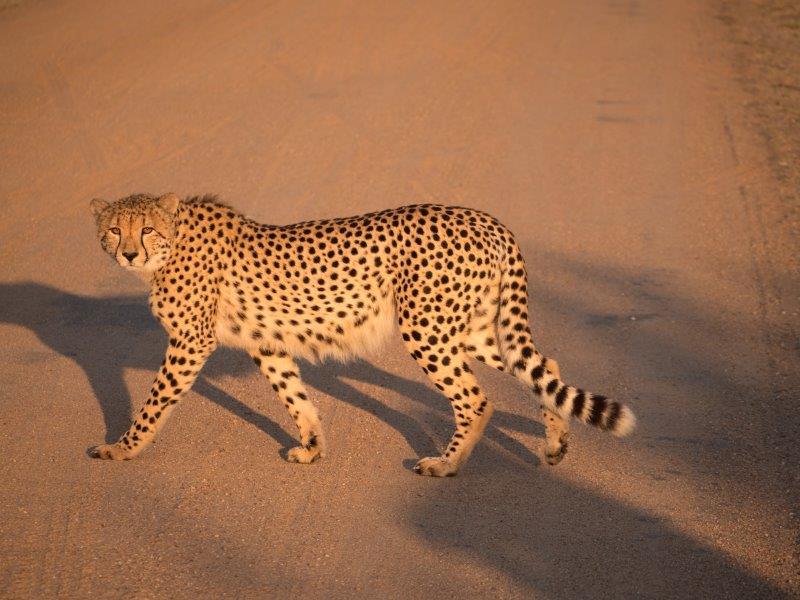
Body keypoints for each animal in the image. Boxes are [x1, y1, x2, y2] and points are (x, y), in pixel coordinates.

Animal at [89, 195, 636, 476]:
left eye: (146, 230)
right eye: (114, 230)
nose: (128, 253)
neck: (173, 241)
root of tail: (487, 219)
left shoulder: (189, 343)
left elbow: (154, 403)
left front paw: (121, 449)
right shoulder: (268, 343)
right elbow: (294, 396)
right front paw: (311, 447)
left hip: (428, 328)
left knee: (477, 398)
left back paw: (446, 464)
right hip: (472, 328)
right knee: (545, 369)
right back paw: (555, 446)